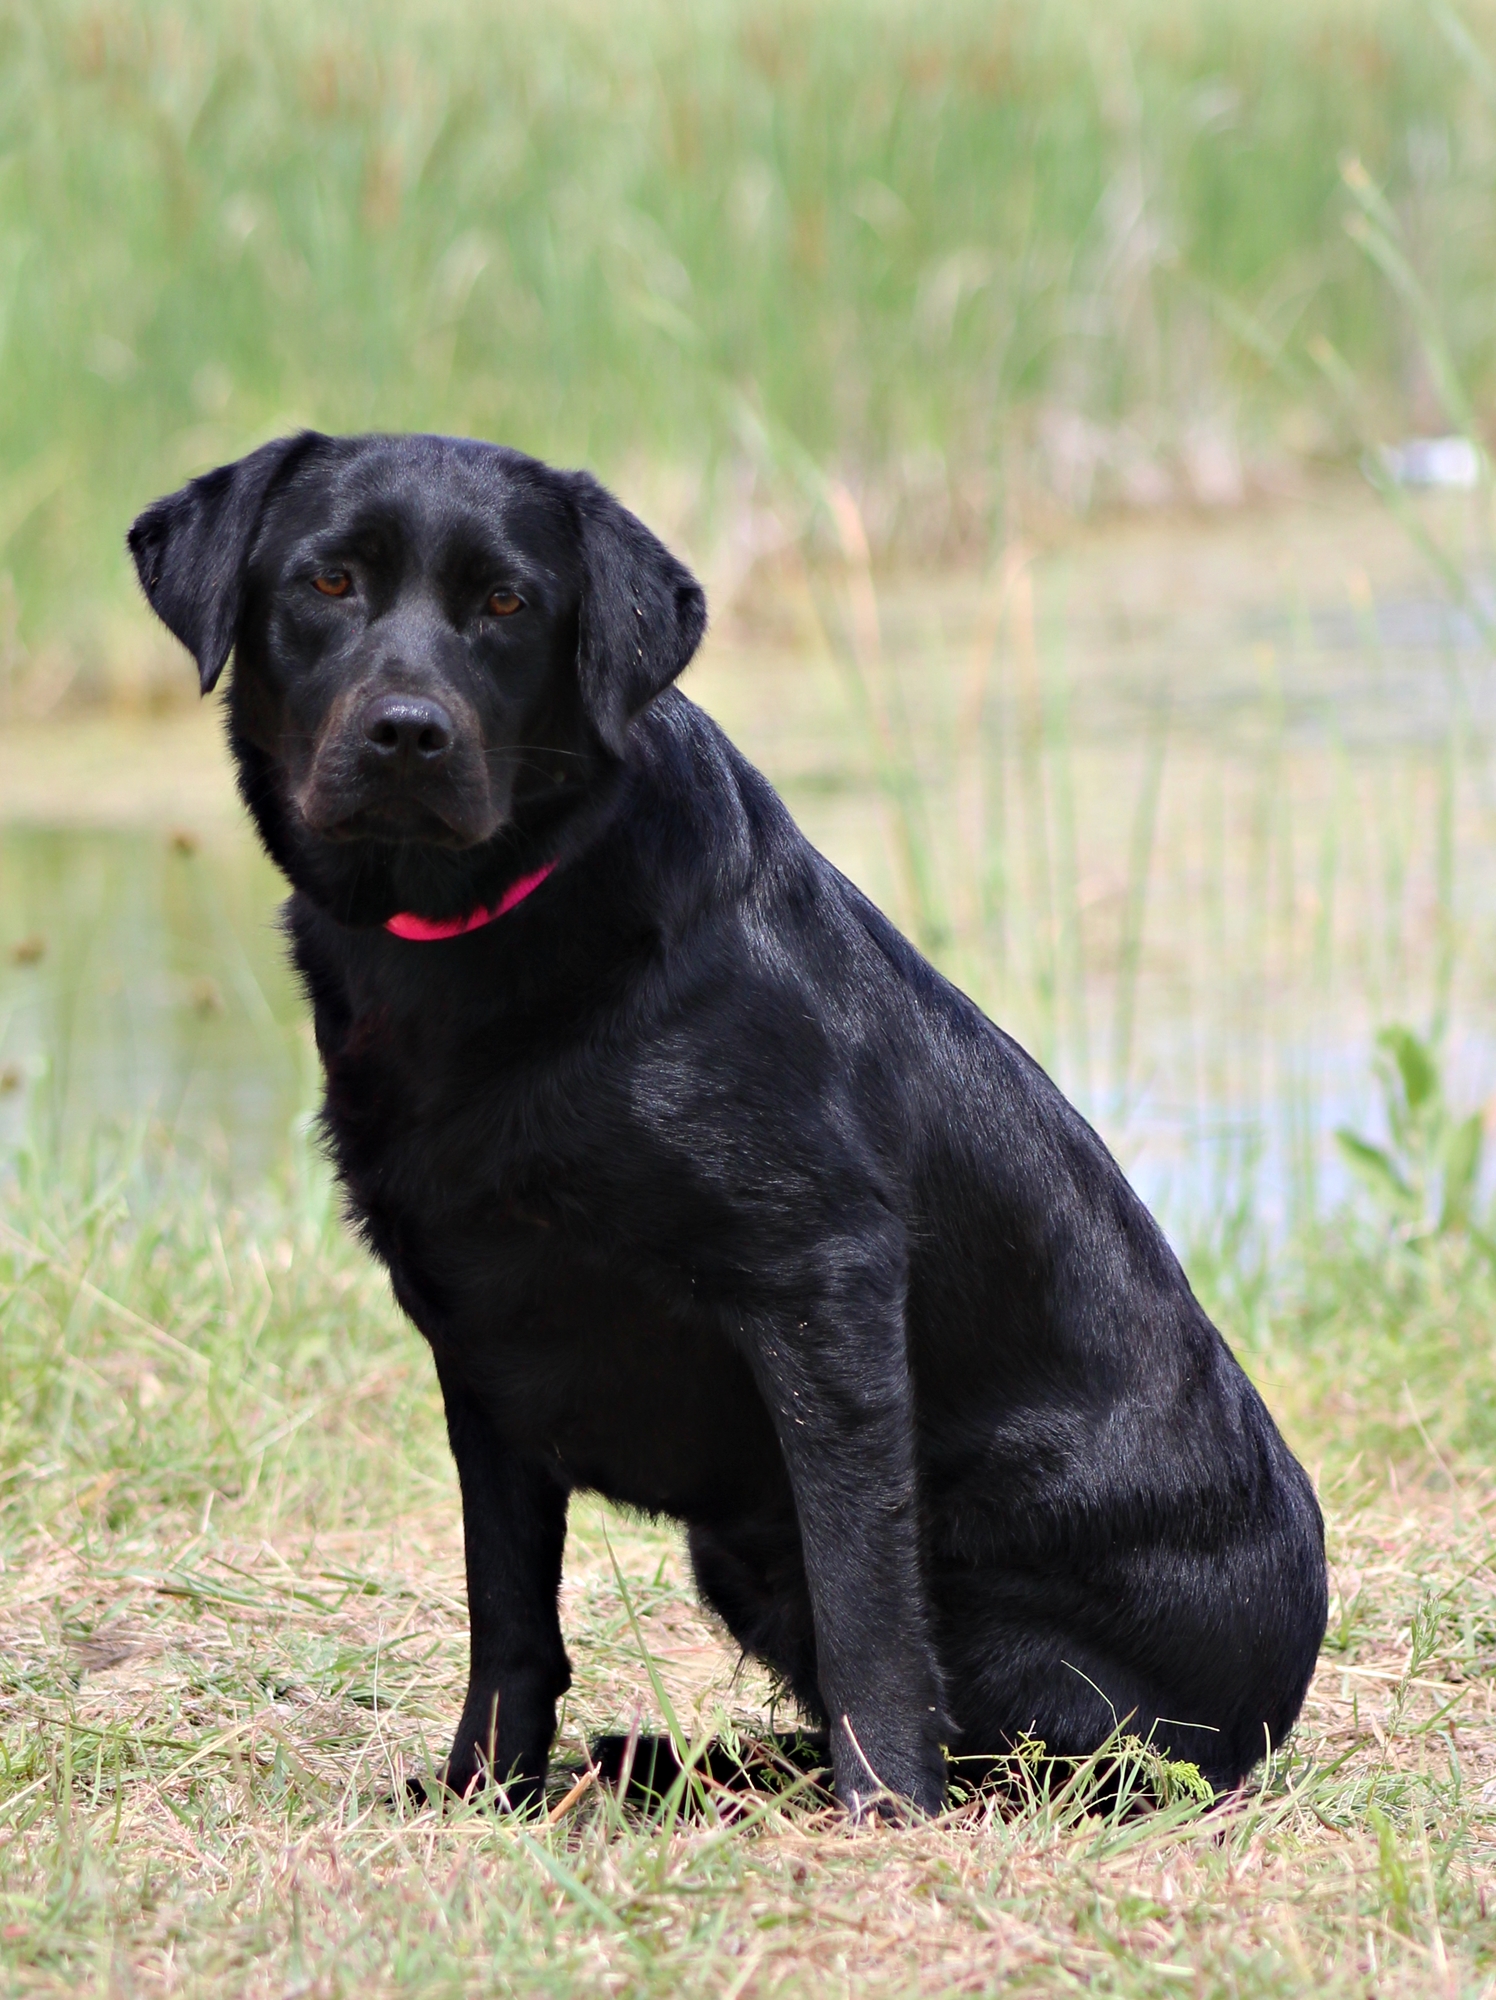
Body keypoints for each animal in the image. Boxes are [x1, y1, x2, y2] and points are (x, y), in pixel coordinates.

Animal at [125, 434, 1320, 1816]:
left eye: (507, 602)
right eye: (327, 581)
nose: (407, 734)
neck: (480, 936)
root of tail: (1272, 1704)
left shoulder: (819, 1289)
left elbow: (868, 1609)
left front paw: (885, 1814)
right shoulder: (476, 1329)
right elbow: (507, 1611)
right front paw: (486, 1790)